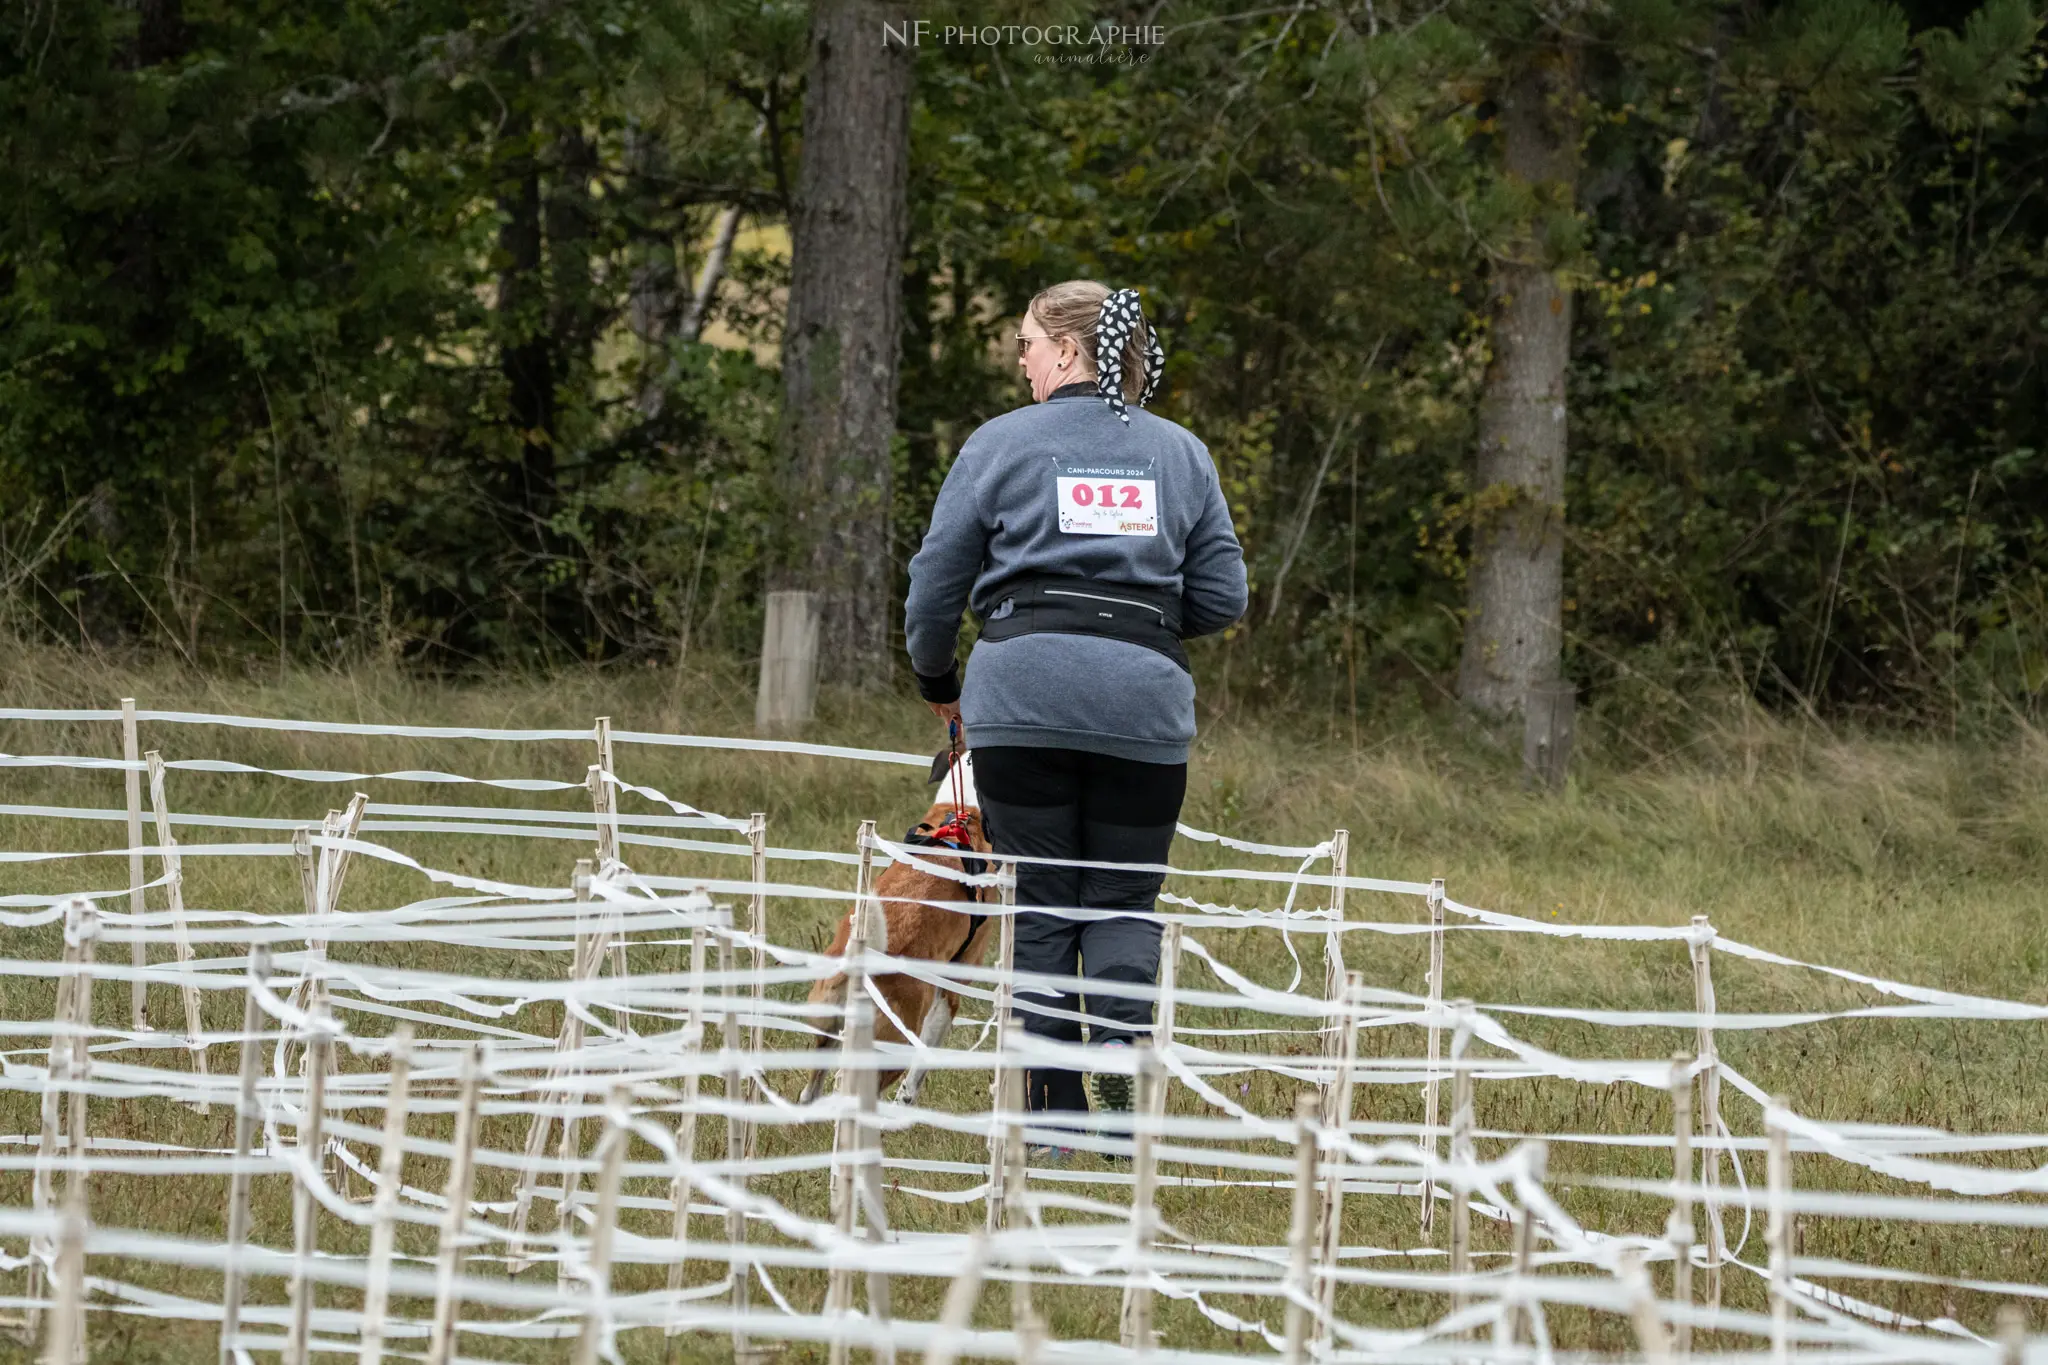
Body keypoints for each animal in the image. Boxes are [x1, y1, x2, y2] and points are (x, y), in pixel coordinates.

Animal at [794, 753, 995, 1113]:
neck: (962, 813)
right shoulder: (952, 986)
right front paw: (907, 1098)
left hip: (825, 1028)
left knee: (811, 1089)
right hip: (889, 1045)